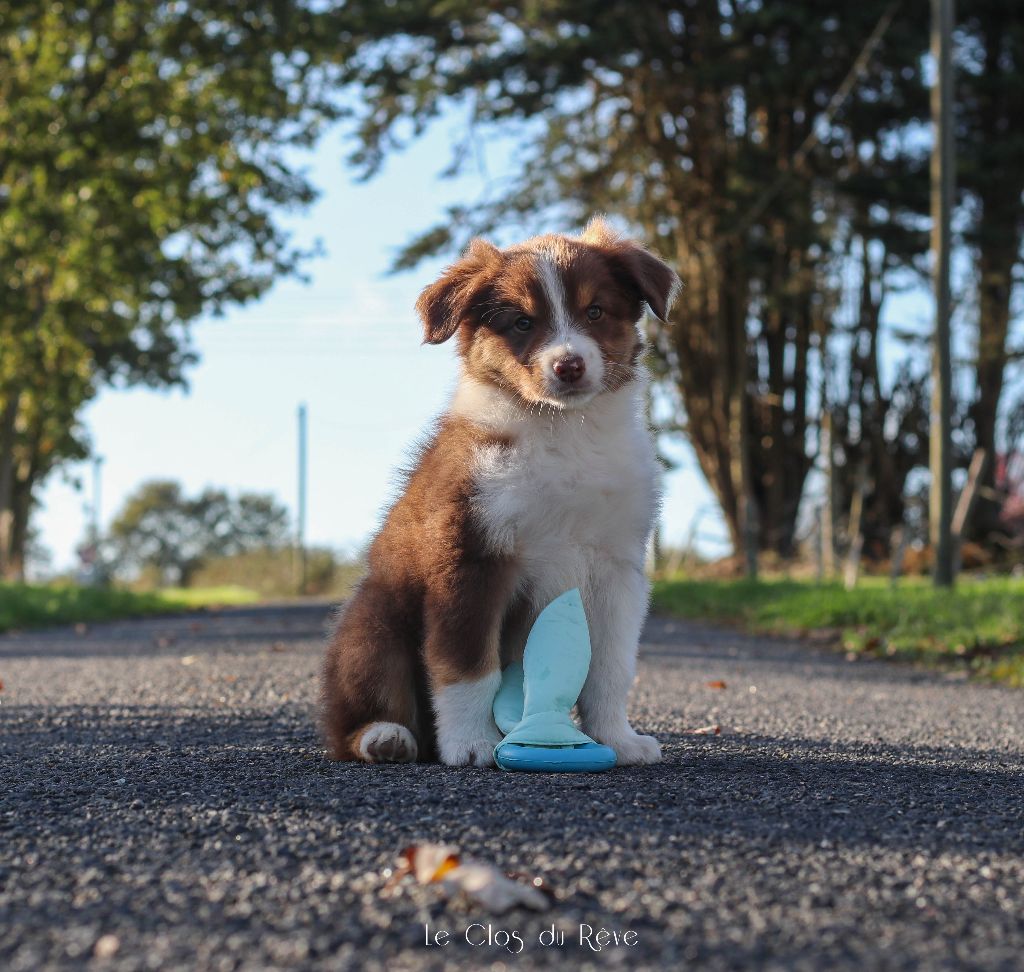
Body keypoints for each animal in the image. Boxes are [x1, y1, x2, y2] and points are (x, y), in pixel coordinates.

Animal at [323, 218, 684, 766]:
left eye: (595, 311)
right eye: (521, 323)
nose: (569, 366)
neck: (563, 431)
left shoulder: (616, 568)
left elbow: (610, 668)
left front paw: (618, 740)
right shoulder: (470, 559)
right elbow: (468, 668)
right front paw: (472, 743)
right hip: (374, 623)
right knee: (350, 716)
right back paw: (385, 737)